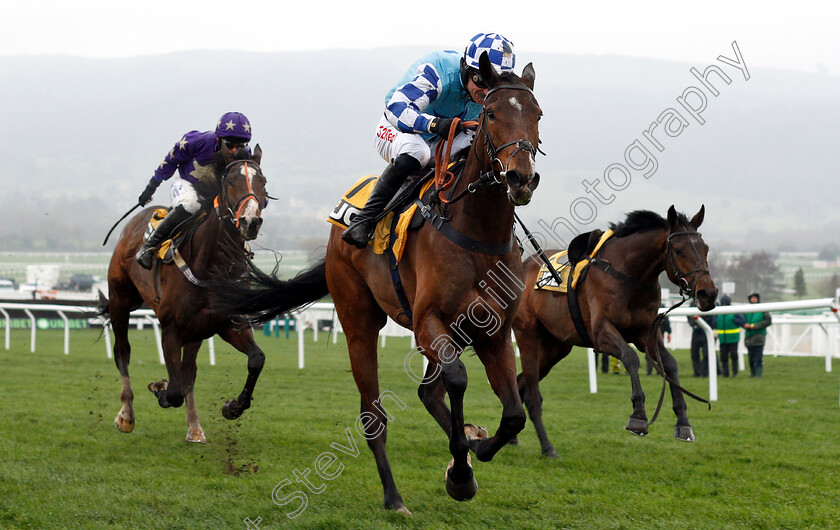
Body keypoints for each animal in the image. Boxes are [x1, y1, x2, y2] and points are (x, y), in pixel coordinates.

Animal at [100, 143, 268, 442]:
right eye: (230, 181)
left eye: (263, 182)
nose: (250, 221)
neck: (211, 264)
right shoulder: (171, 327)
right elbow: (175, 389)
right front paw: (160, 389)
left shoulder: (226, 323)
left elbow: (256, 359)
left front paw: (233, 406)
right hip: (120, 298)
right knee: (122, 351)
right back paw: (126, 414)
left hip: (195, 330)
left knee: (189, 370)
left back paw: (195, 427)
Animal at [213, 53, 540, 512]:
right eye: (491, 113)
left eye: (537, 113)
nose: (520, 179)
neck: (477, 234)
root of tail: (339, 228)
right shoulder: (428, 321)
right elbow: (458, 379)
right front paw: (460, 473)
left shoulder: (493, 331)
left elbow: (513, 415)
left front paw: (474, 452)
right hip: (358, 321)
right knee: (374, 415)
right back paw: (393, 495)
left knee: (429, 395)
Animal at [512, 204, 716, 456]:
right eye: (678, 250)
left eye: (705, 248)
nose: (708, 294)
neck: (629, 275)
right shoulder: (602, 334)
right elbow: (630, 358)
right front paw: (638, 416)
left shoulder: (645, 333)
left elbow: (670, 364)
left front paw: (683, 423)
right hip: (528, 335)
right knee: (531, 395)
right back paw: (547, 447)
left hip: (556, 347)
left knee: (520, 383)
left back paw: (511, 437)